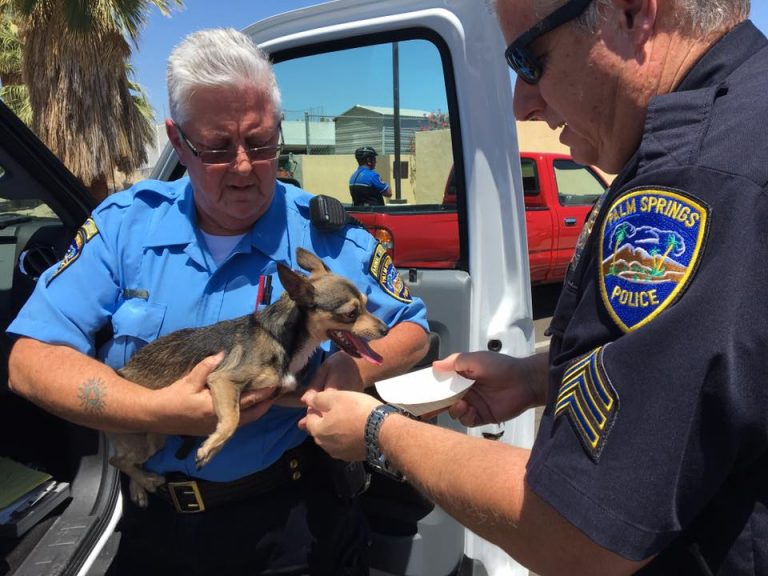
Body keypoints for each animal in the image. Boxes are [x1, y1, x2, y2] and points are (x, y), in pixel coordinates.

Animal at [106, 248, 390, 504]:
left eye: (367, 305)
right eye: (350, 314)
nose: (386, 329)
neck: (283, 340)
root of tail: (122, 372)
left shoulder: (280, 393)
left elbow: (311, 394)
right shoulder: (222, 380)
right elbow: (232, 419)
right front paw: (211, 447)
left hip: (156, 437)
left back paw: (140, 486)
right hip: (143, 437)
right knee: (117, 459)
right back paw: (145, 481)